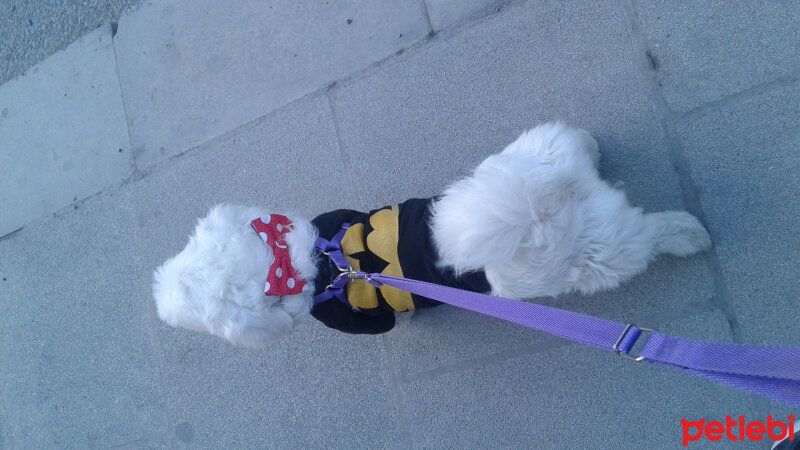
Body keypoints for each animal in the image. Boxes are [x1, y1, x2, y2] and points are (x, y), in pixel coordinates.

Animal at [153, 123, 708, 348]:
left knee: (646, 237)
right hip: (540, 153)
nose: (158, 302)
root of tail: (536, 203)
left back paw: (688, 235)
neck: (317, 263)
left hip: (595, 255)